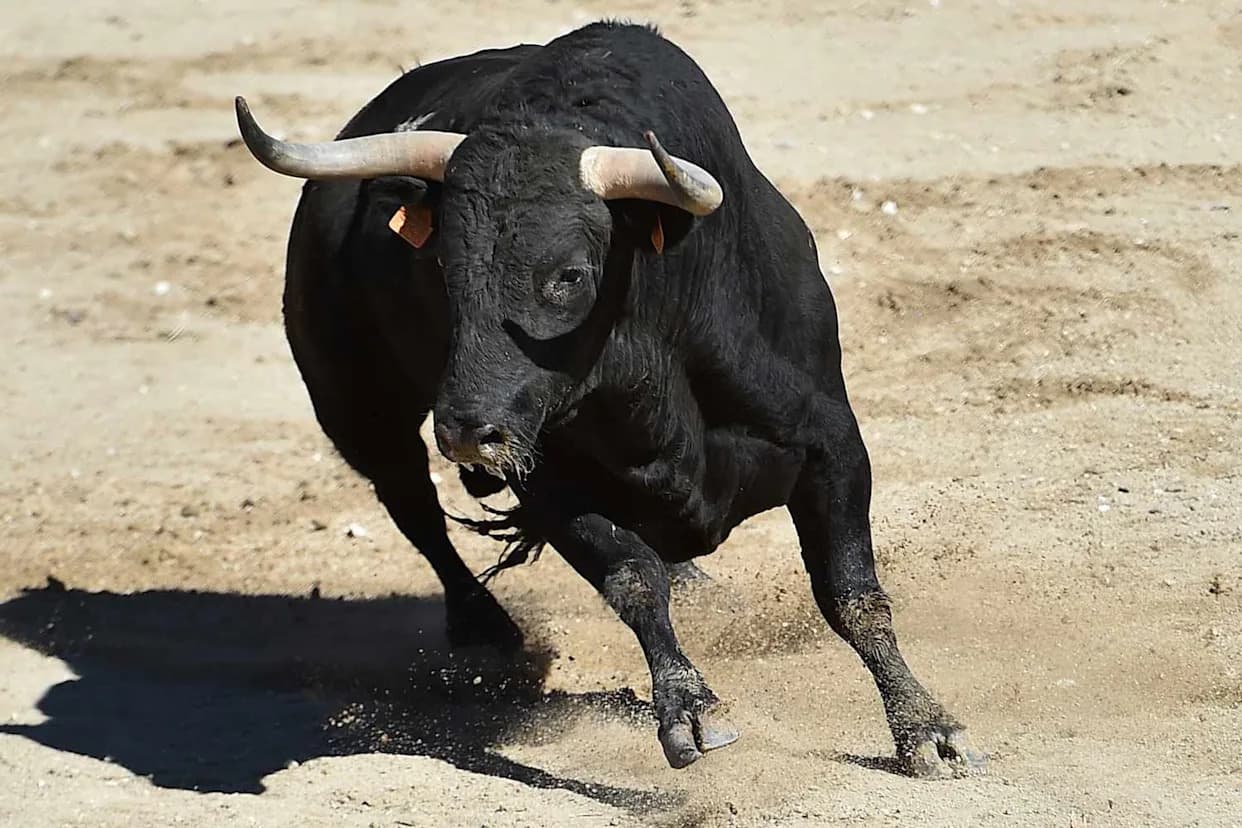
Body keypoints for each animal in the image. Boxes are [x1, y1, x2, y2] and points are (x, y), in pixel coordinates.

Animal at [234, 20, 984, 776]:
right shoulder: (550, 482)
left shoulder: (831, 444)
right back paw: (484, 626)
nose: (470, 432)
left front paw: (926, 727)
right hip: (358, 409)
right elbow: (632, 579)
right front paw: (689, 709)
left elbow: (851, 593)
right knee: (413, 507)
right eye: (443, 268)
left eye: (568, 275)